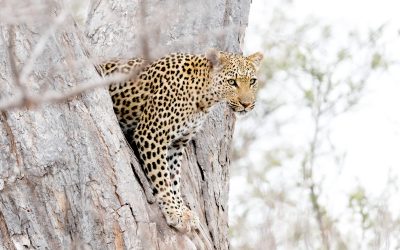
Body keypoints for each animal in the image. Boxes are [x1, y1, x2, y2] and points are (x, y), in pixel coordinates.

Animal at [95, 48, 264, 232]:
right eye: (232, 82)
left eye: (253, 81)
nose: (246, 104)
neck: (204, 97)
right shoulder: (152, 134)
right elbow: (162, 177)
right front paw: (173, 211)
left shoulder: (177, 144)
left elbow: (174, 178)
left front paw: (182, 210)